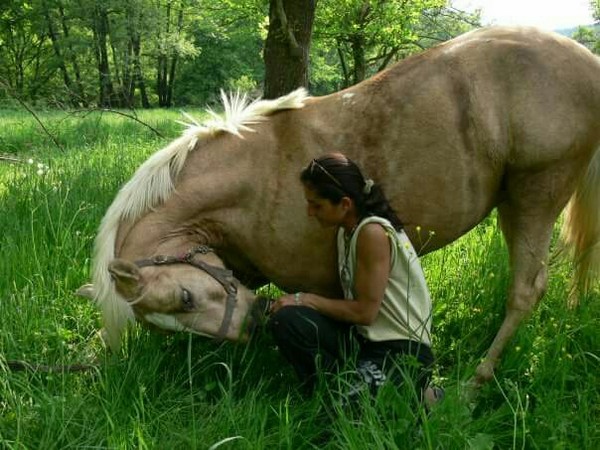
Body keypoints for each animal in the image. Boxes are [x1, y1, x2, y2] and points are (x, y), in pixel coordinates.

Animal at [79, 26, 600, 384]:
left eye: (184, 299)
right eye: (176, 325)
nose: (253, 321)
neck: (253, 177)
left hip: (537, 191)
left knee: (526, 290)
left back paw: (476, 383)